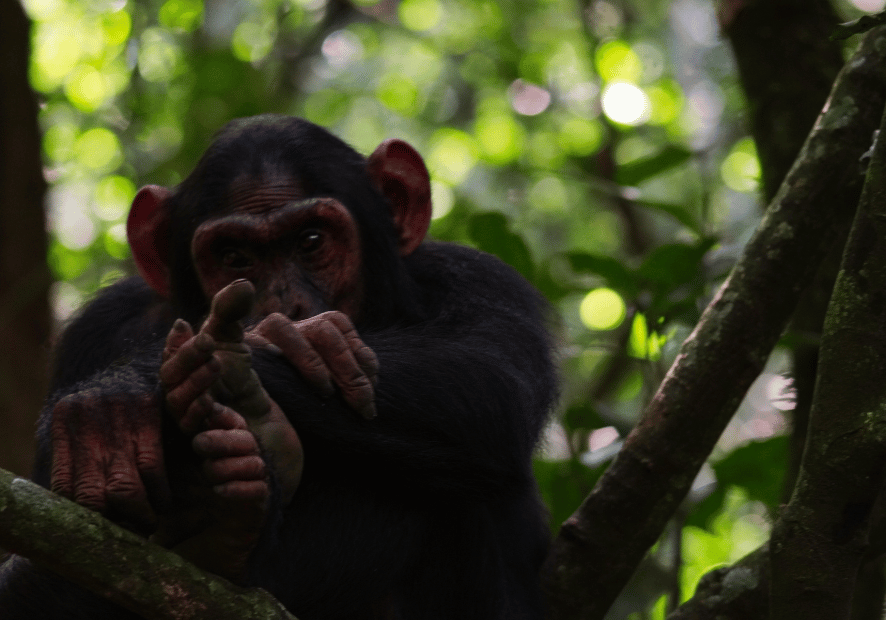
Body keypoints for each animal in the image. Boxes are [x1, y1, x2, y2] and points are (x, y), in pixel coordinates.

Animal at [0, 114, 556, 616]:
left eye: (311, 241)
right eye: (234, 257)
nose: (282, 304)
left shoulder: (487, 283)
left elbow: (490, 379)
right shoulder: (98, 329)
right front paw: (108, 404)